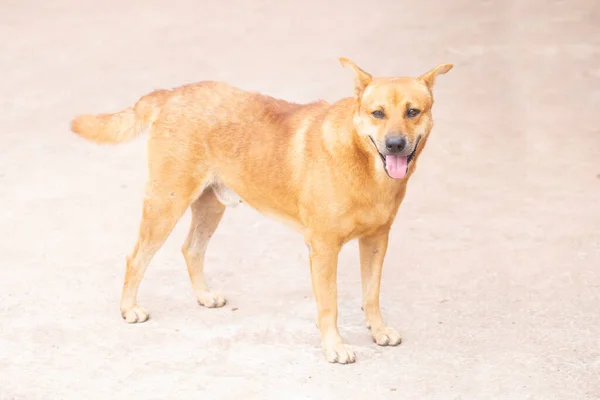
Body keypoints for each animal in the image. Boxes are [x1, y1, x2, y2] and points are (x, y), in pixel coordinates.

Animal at [70, 58, 452, 362]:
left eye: (413, 112)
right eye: (377, 113)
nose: (395, 145)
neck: (362, 162)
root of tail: (171, 93)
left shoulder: (376, 241)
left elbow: (371, 294)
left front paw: (378, 330)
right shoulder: (323, 249)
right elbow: (329, 305)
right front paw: (334, 347)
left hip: (210, 206)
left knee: (191, 249)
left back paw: (204, 295)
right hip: (166, 204)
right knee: (136, 258)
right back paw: (128, 309)